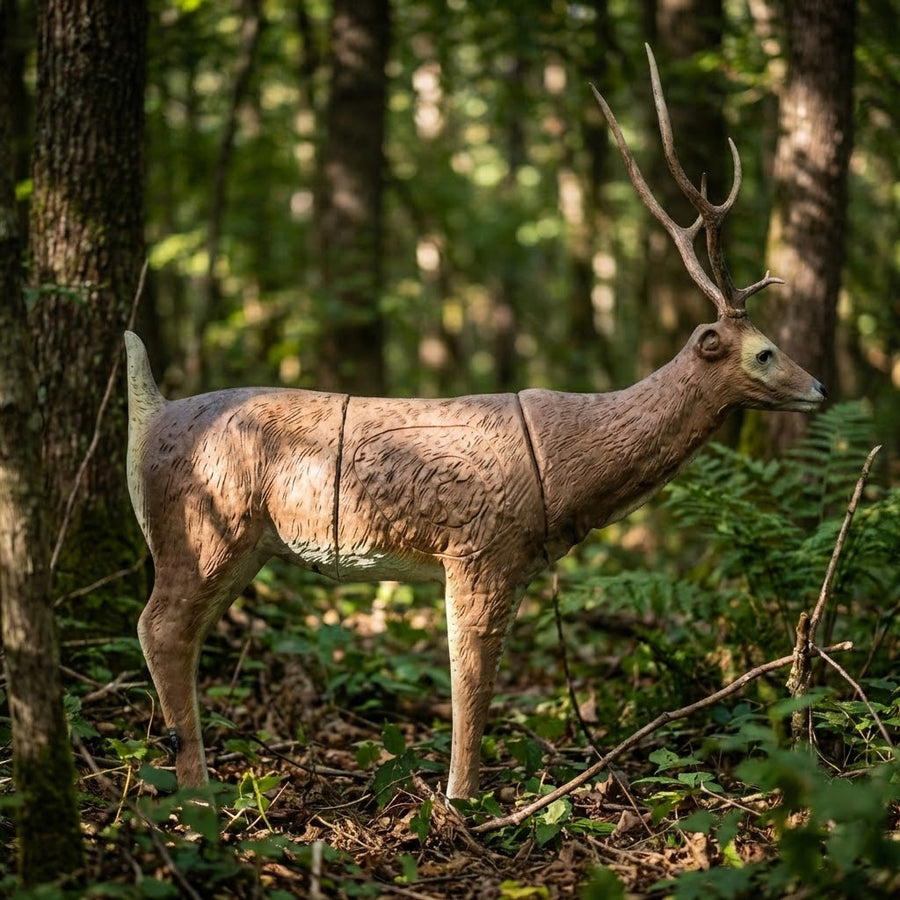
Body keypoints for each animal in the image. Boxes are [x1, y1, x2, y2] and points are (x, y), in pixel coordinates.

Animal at [125, 45, 826, 800]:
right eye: (764, 350)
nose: (819, 387)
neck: (564, 465)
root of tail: (150, 416)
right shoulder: (480, 547)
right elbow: (472, 679)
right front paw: (461, 801)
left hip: (244, 542)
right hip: (204, 524)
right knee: (159, 627)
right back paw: (197, 790)